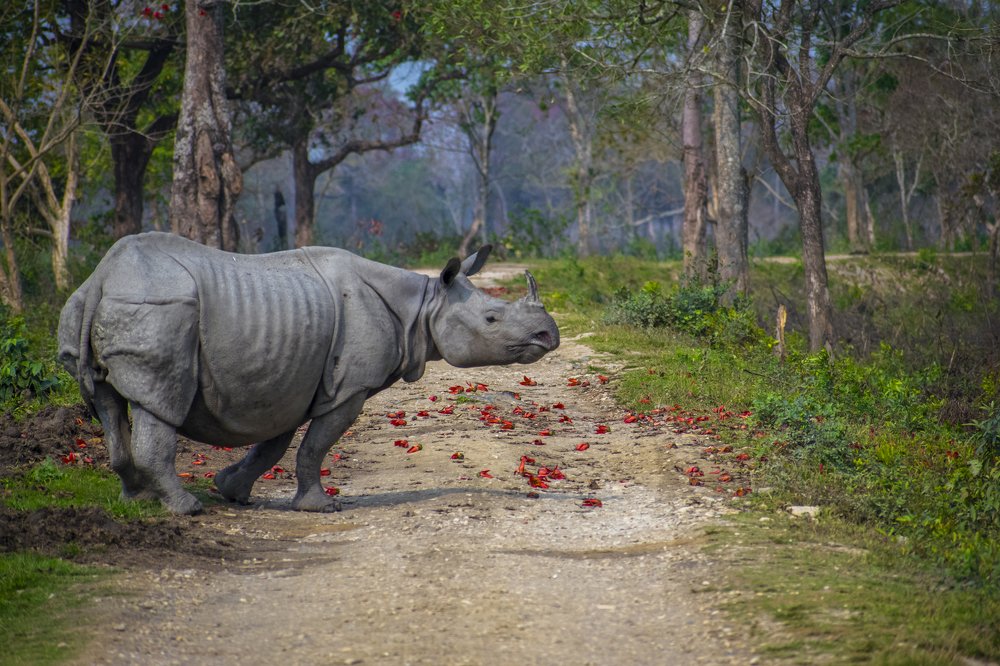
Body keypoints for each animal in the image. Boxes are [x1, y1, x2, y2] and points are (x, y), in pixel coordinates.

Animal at [57, 232, 559, 515]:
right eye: (492, 319)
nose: (548, 335)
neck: (424, 303)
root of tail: (102, 277)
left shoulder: (289, 377)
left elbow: (273, 443)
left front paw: (233, 492)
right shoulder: (349, 386)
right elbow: (314, 446)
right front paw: (323, 507)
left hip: (103, 305)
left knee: (108, 403)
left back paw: (139, 502)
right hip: (159, 310)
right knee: (158, 403)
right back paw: (187, 510)